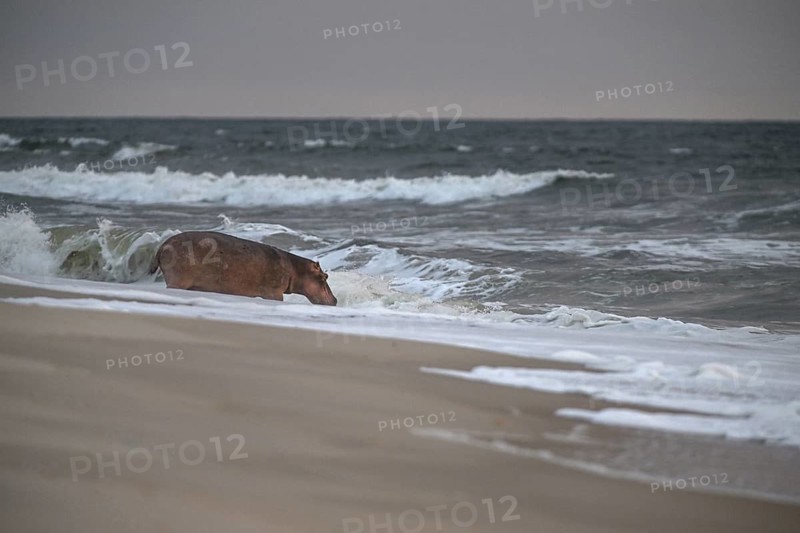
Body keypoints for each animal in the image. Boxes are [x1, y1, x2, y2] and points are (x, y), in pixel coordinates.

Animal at [149, 231, 337, 306]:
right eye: (324, 277)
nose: (335, 300)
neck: (296, 268)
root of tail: (162, 245)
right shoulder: (274, 293)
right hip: (178, 279)